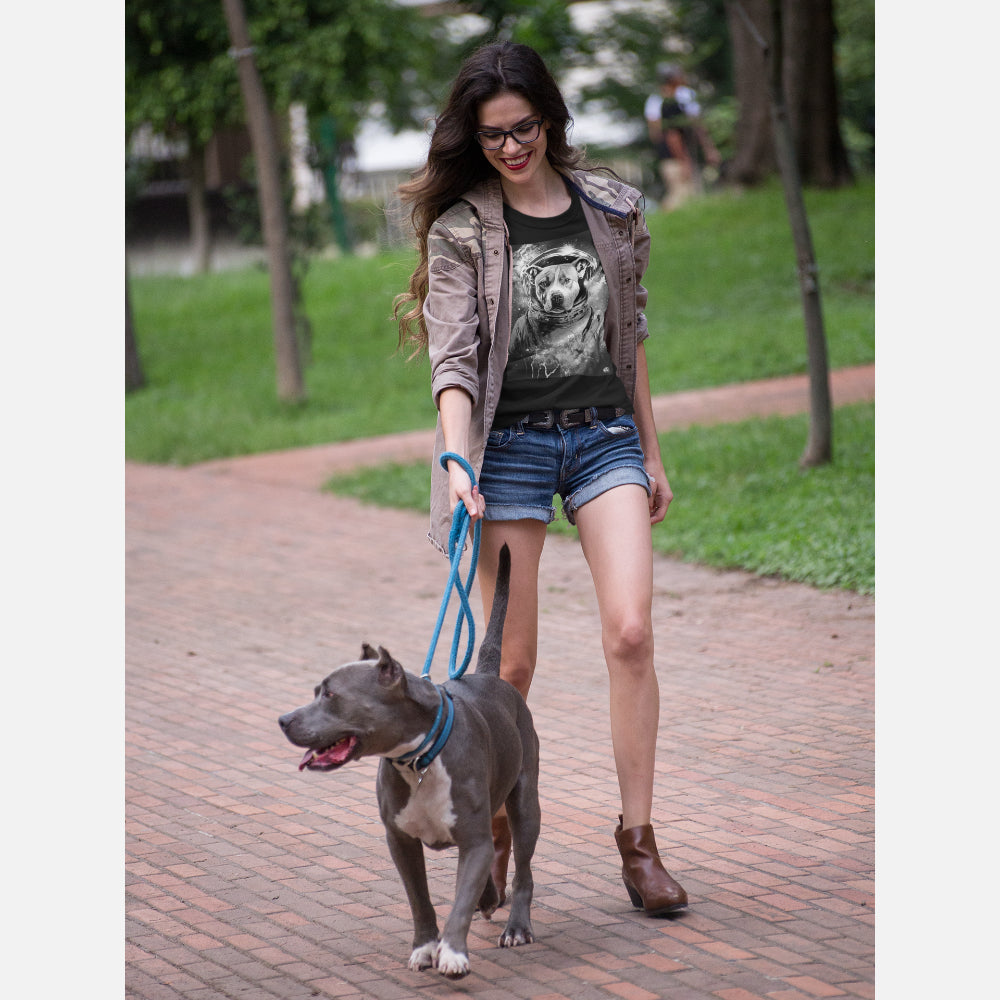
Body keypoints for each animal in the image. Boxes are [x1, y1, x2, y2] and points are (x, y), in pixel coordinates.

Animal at [278, 548, 540, 976]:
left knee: (524, 870)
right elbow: (420, 899)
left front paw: (452, 952)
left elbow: (460, 902)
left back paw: (517, 927)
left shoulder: (473, 840)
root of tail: (489, 676)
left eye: (330, 695)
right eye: (316, 691)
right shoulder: (400, 840)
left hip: (526, 804)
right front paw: (425, 947)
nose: (284, 720)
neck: (419, 760)